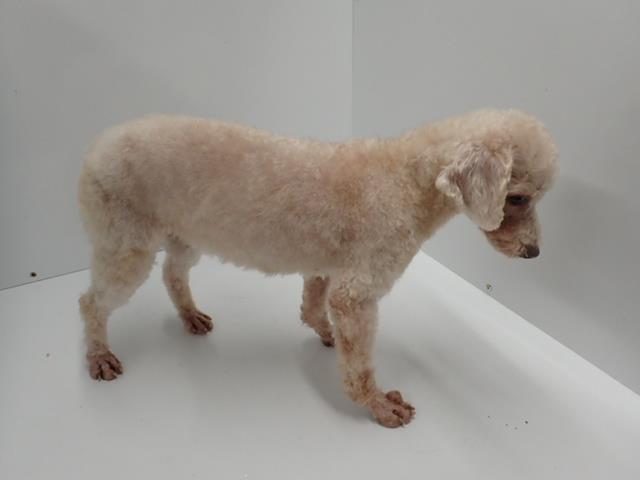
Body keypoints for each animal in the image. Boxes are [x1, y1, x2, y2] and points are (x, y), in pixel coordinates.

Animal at [78, 109, 557, 427]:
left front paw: (326, 336)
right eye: (518, 197)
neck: (402, 181)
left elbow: (313, 308)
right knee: (90, 302)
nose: (534, 253)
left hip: (184, 235)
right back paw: (99, 356)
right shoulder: (358, 291)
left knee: (173, 273)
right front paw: (379, 404)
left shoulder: (327, 266)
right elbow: (358, 360)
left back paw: (190, 315)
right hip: (127, 245)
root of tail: (97, 146)